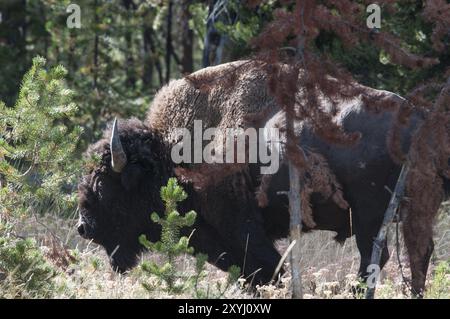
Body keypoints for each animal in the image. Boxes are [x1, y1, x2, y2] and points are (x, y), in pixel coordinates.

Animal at [78, 60, 450, 298]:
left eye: (103, 185)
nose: (83, 227)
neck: (171, 153)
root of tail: (419, 120)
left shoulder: (241, 228)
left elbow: (267, 269)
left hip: (370, 217)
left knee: (374, 258)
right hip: (416, 211)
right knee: (418, 255)